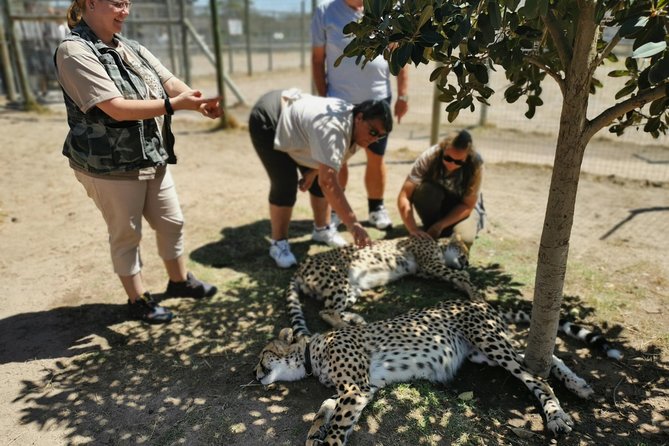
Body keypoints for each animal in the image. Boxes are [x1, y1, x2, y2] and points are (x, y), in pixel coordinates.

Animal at [255, 299, 621, 445]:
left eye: (262, 355)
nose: (256, 374)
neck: (310, 353)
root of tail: (480, 301)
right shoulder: (361, 389)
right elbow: (326, 409)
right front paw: (315, 431)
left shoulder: (356, 388)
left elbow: (337, 422)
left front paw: (326, 439)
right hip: (483, 353)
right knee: (544, 359)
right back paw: (580, 385)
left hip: (488, 342)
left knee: (536, 377)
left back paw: (557, 416)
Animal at [286, 235, 482, 337]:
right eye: (464, 252)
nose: (467, 263)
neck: (439, 245)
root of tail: (301, 265)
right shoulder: (430, 265)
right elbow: (459, 275)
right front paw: (476, 296)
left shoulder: (425, 270)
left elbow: (456, 276)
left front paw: (462, 284)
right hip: (338, 281)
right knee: (326, 311)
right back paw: (349, 327)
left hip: (352, 289)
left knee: (332, 308)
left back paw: (355, 320)